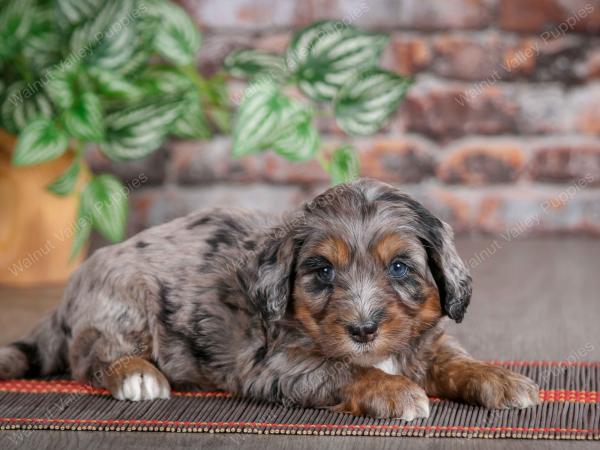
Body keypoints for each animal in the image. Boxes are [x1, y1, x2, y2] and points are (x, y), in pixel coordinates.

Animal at [0, 178, 540, 418]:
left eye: (400, 268)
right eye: (322, 271)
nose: (364, 331)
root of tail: (70, 293)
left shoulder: (425, 340)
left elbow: (453, 359)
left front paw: (499, 378)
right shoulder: (273, 363)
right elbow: (344, 369)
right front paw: (395, 390)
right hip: (122, 305)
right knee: (91, 357)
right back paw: (138, 376)